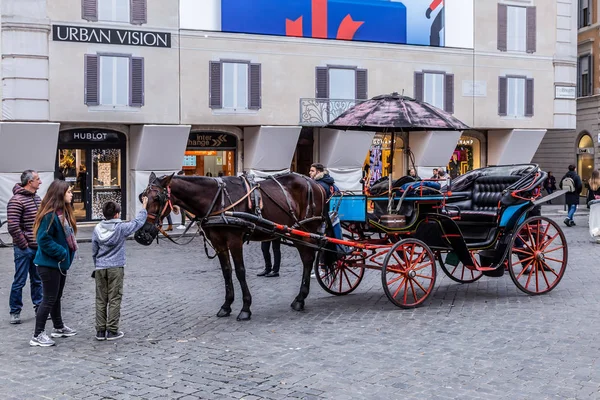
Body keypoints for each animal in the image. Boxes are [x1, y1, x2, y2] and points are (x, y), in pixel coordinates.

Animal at [134, 173, 332, 322]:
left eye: (158, 198)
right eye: (142, 197)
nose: (141, 234)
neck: (216, 200)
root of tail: (316, 184)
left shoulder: (235, 240)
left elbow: (240, 271)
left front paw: (245, 308)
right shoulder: (218, 242)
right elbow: (226, 272)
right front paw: (226, 305)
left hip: (306, 230)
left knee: (308, 259)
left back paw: (300, 298)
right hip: (296, 232)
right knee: (308, 259)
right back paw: (300, 298)